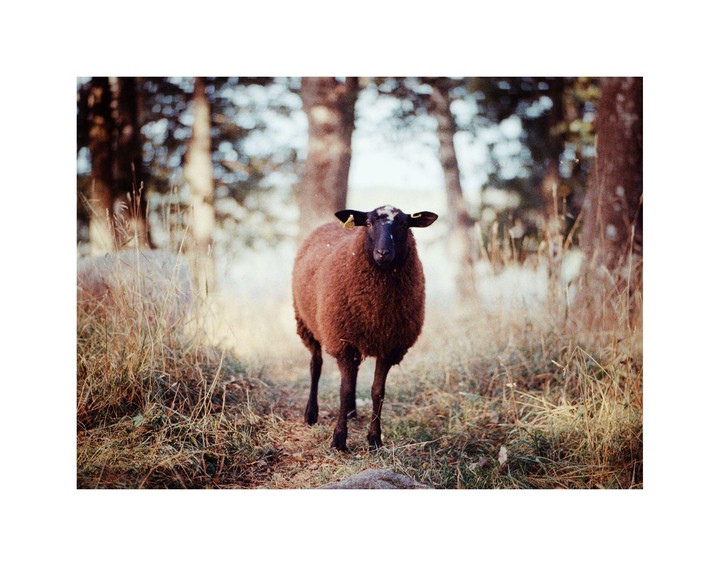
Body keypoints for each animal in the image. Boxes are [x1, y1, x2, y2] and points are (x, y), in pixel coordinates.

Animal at [292, 204, 438, 451]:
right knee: (316, 366)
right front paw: (339, 439)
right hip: (307, 324)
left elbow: (377, 391)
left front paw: (375, 439)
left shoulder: (389, 346)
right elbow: (344, 389)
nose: (383, 253)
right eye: (368, 223)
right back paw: (311, 414)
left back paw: (351, 412)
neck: (376, 310)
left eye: (403, 224)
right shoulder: (344, 342)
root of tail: (329, 223)